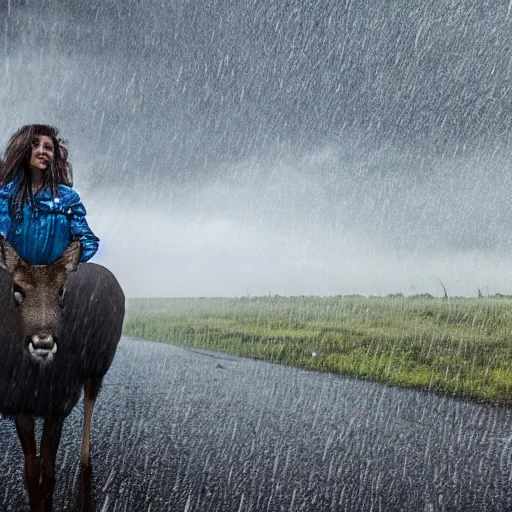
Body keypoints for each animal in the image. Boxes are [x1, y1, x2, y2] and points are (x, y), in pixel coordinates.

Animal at [0, 238, 125, 510]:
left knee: (90, 401)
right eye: (18, 288)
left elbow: (49, 474)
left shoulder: (59, 403)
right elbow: (31, 472)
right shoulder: (20, 405)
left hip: (98, 366)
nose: (43, 342)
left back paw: (85, 460)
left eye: (61, 291)